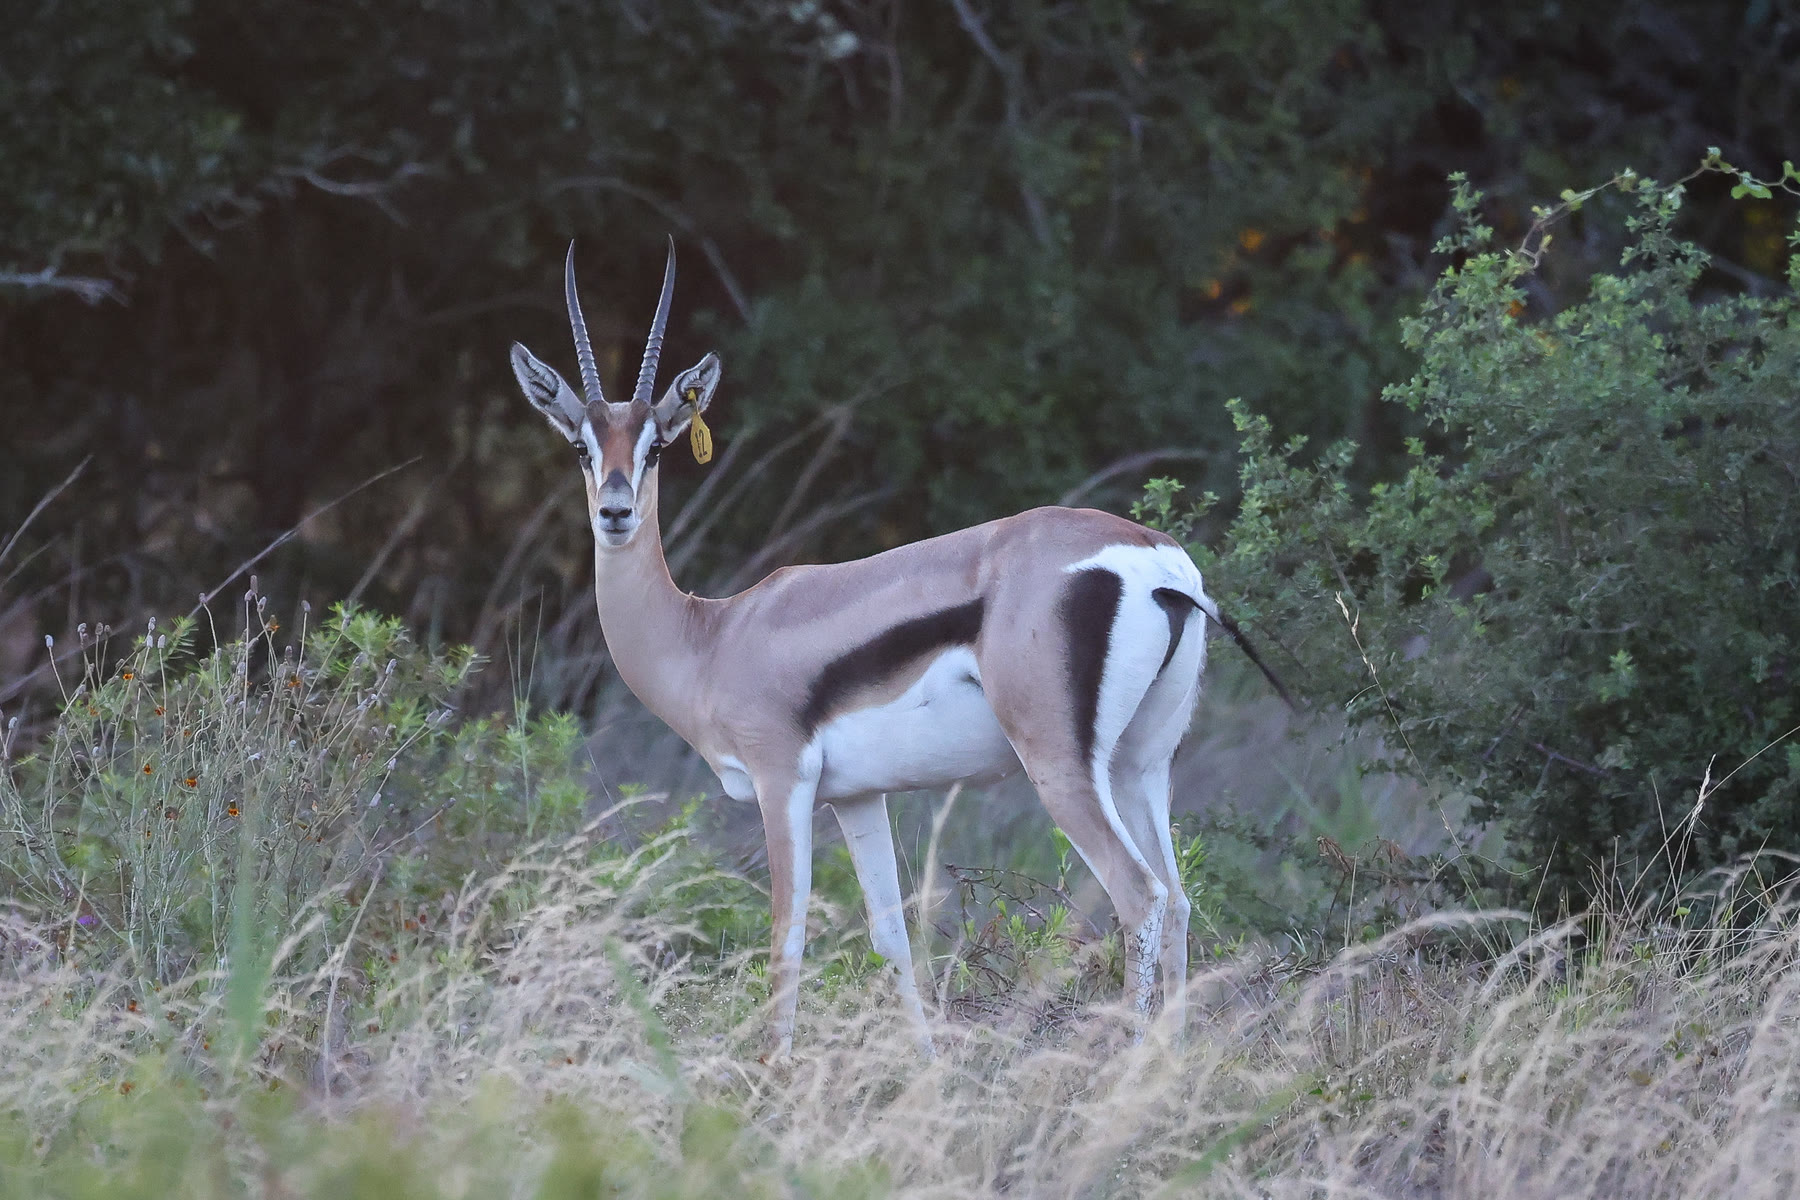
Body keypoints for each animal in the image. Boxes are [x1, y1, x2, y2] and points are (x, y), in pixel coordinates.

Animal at [510, 241, 1288, 1057]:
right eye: (581, 446)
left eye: (656, 448)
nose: (615, 512)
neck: (712, 635)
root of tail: (1158, 563)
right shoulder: (857, 796)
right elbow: (892, 936)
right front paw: (927, 1069)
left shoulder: (780, 783)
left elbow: (786, 936)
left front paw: (773, 1073)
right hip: (1141, 765)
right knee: (1179, 900)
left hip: (1061, 768)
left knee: (1139, 896)